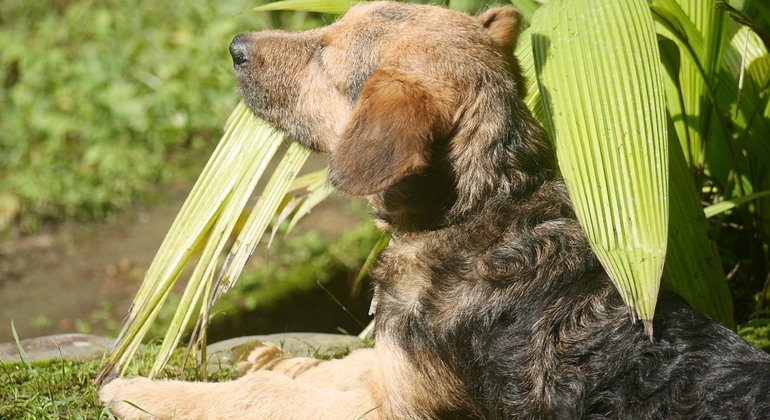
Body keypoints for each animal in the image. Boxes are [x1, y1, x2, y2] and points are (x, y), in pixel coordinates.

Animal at [100, 1, 768, 418]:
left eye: (325, 57)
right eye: (328, 25)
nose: (236, 46)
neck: (475, 211)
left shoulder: (391, 407)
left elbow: (259, 399)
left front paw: (144, 393)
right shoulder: (389, 373)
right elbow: (340, 363)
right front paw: (277, 358)